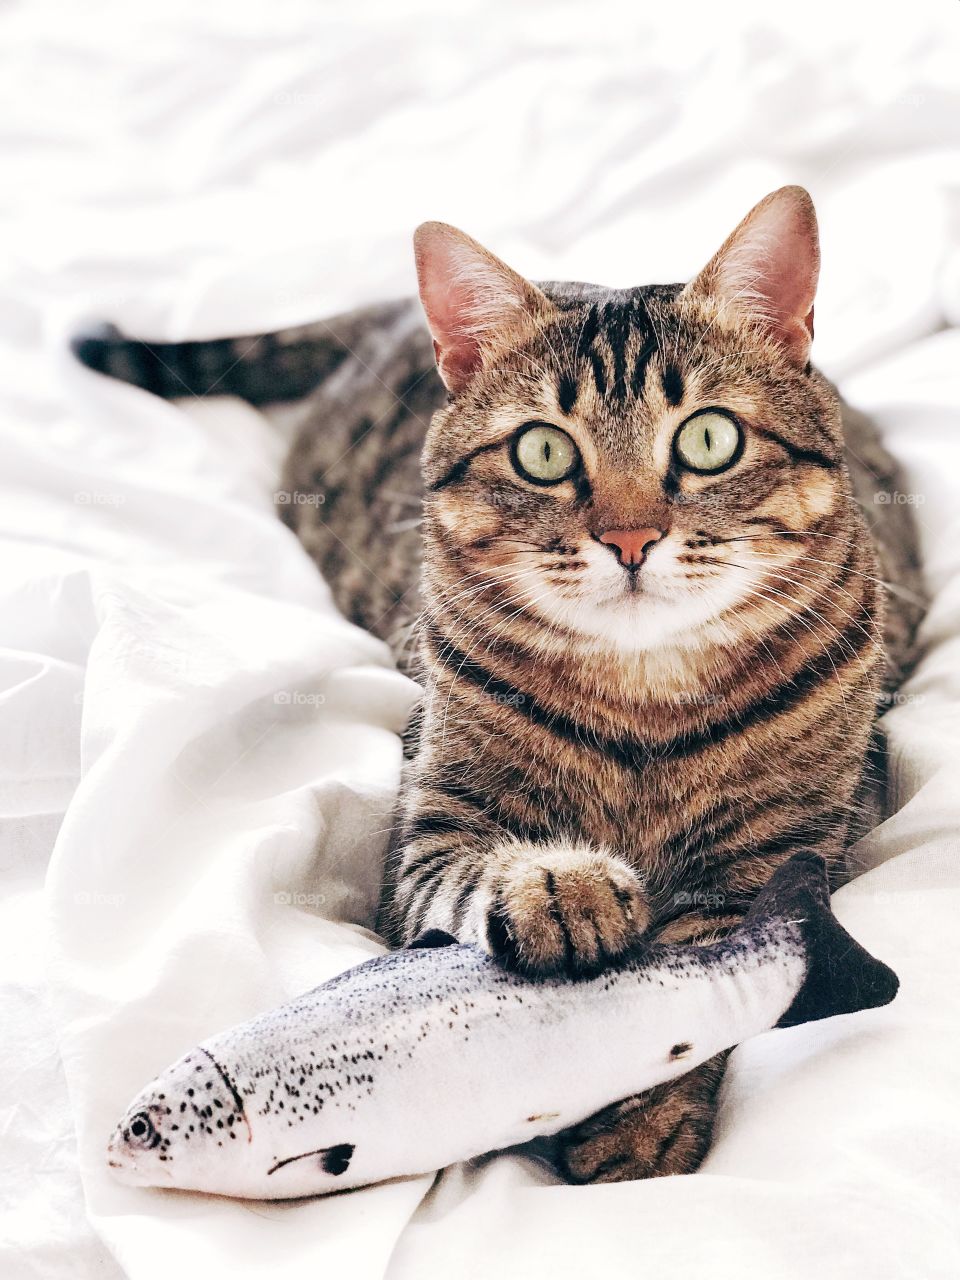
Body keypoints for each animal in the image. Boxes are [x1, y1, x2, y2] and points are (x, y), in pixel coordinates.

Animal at [73, 186, 926, 1177]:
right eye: (543, 453)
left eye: (710, 439)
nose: (630, 538)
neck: (644, 701)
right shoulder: (429, 827)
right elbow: (474, 869)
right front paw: (558, 887)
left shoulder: (772, 851)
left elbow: (704, 982)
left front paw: (642, 1125)